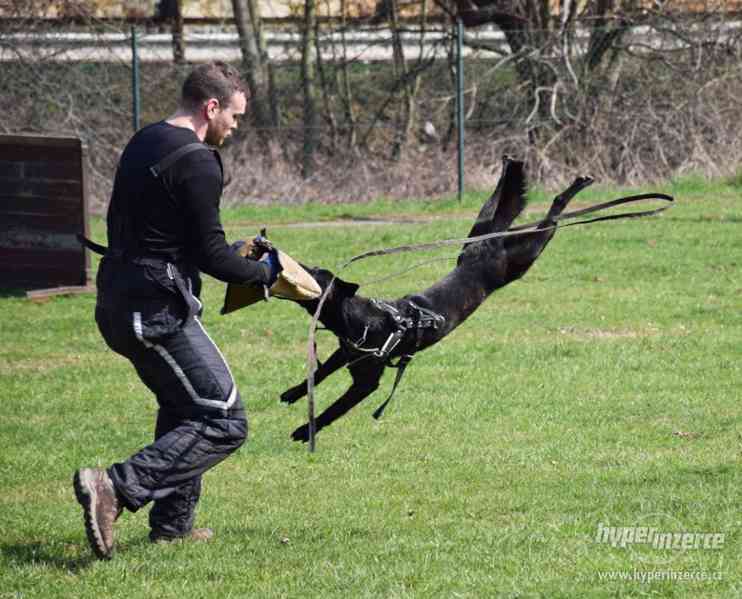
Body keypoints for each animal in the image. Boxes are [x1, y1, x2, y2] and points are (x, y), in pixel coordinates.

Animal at [282, 157, 596, 442]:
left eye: (314, 275)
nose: (289, 263)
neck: (358, 317)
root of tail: (488, 248)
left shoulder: (366, 382)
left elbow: (336, 407)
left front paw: (305, 430)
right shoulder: (344, 353)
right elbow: (317, 374)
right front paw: (293, 392)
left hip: (524, 254)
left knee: (552, 213)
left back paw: (575, 185)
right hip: (480, 233)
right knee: (498, 206)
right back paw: (510, 164)